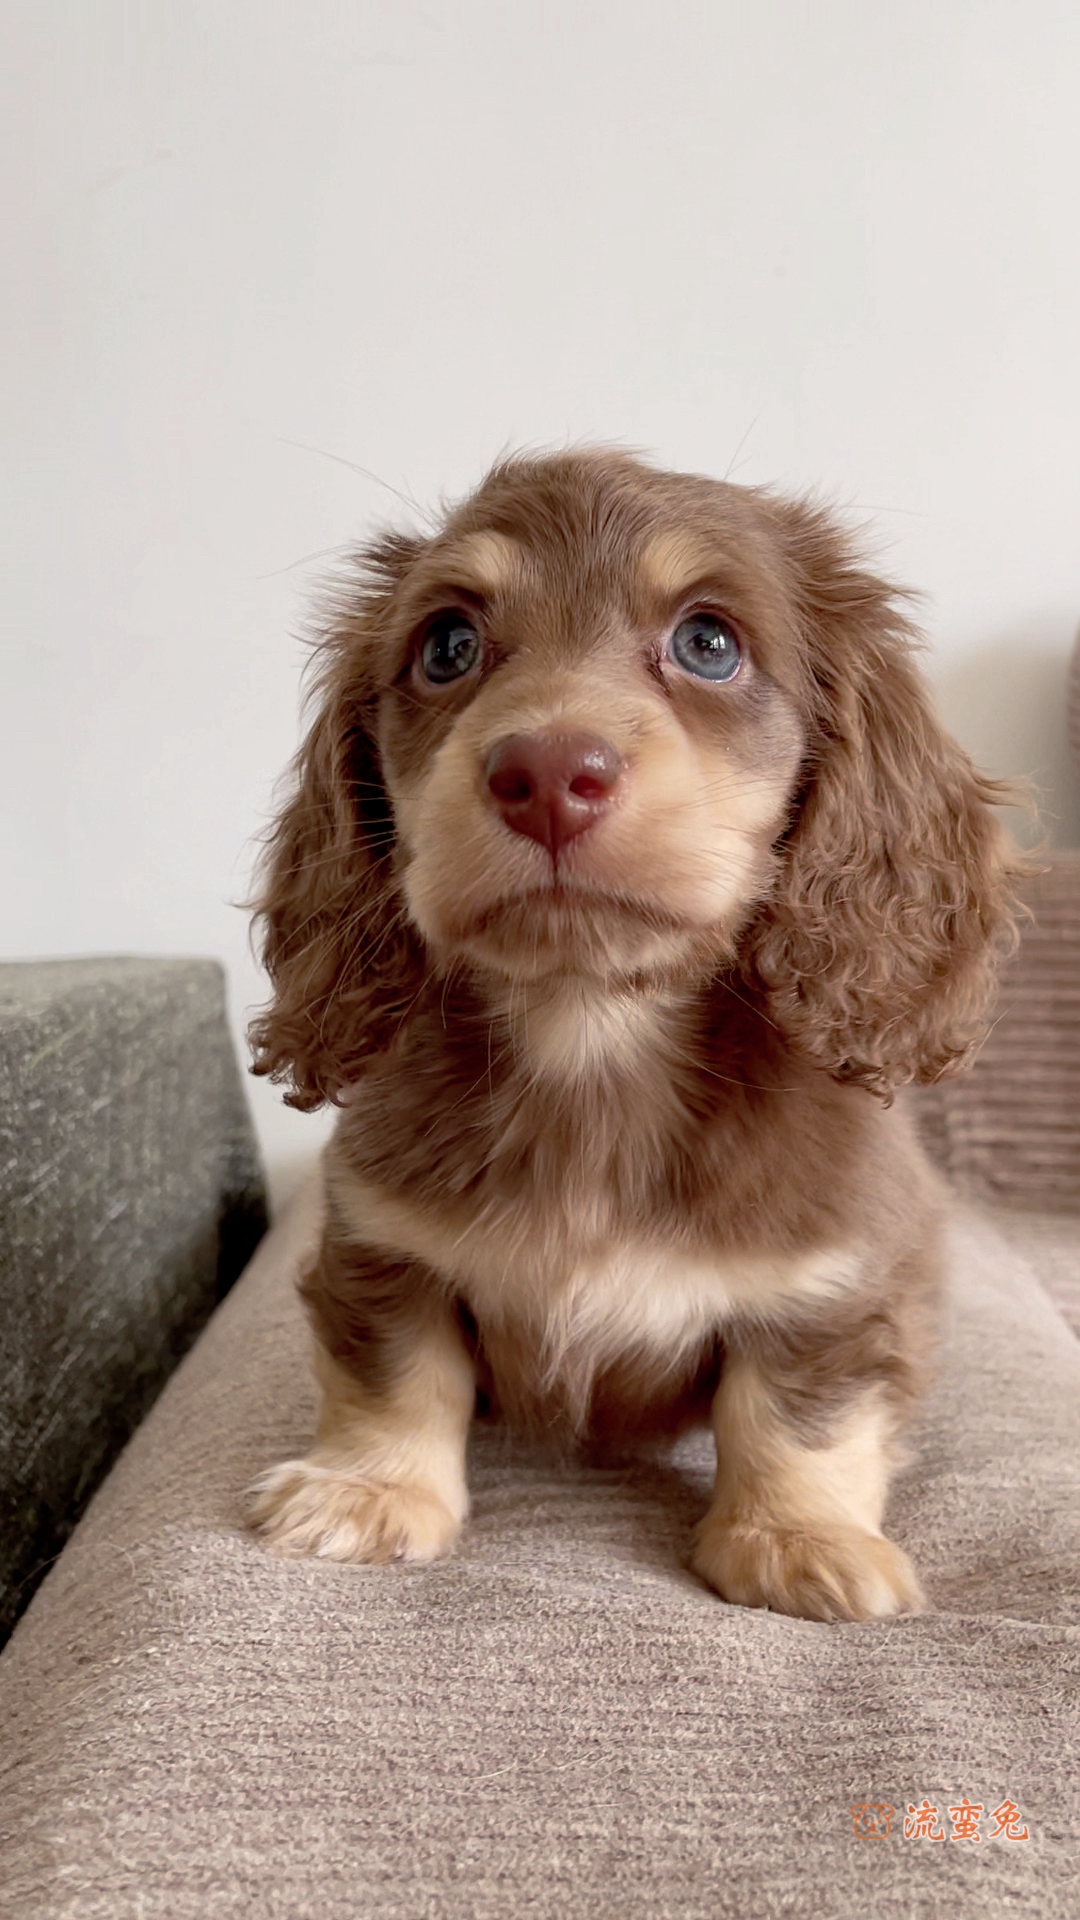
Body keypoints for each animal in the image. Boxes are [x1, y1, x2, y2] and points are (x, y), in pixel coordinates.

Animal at [247, 449, 1014, 1620]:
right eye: (447, 645)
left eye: (709, 643)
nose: (548, 774)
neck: (591, 1032)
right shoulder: (379, 1247)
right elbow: (393, 1370)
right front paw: (366, 1490)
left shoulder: (840, 1287)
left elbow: (799, 1410)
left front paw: (799, 1536)